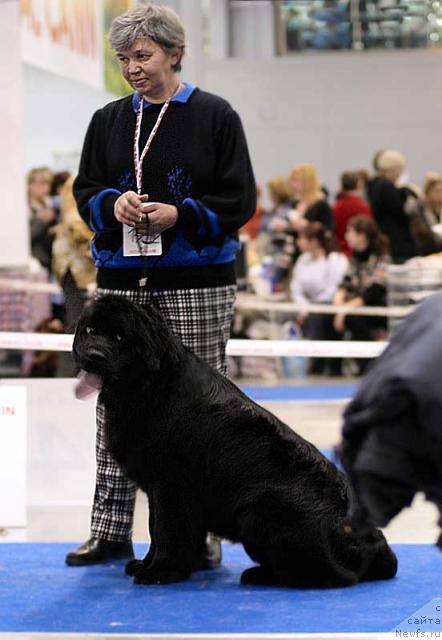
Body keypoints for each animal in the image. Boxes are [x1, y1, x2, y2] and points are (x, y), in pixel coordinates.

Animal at [72, 294, 398, 584]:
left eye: (119, 337)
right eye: (89, 331)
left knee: (331, 577)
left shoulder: (171, 483)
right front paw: (147, 563)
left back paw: (260, 576)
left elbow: (166, 530)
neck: (149, 384)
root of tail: (372, 541)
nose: (93, 355)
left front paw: (161, 571)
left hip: (256, 513)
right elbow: (156, 528)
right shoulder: (158, 486)